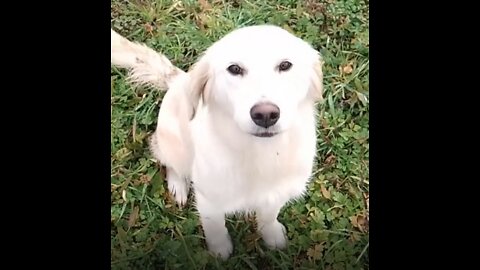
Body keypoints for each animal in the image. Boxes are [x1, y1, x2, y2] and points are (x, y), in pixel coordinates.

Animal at [110, 25, 324, 260]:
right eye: (234, 69)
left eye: (285, 65)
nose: (266, 115)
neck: (259, 154)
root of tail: (180, 81)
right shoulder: (208, 200)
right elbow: (215, 227)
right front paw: (220, 251)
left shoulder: (277, 193)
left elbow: (268, 217)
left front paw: (273, 236)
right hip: (173, 145)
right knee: (173, 165)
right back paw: (178, 187)